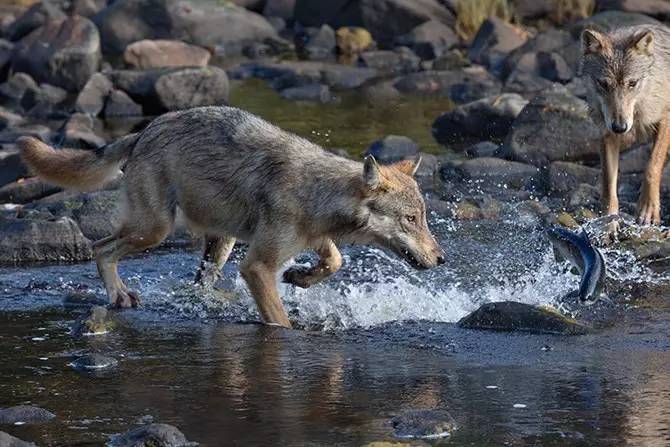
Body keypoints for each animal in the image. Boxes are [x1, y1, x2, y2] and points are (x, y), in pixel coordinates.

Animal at [17, 105, 446, 328]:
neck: (317, 193)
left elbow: (334, 260)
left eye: (423, 218)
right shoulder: (256, 267)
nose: (442, 258)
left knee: (200, 282)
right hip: (155, 229)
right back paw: (119, 295)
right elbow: (279, 319)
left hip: (220, 240)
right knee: (101, 247)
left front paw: (300, 277)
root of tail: (146, 129)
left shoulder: (312, 239)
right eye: (411, 220)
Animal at [584, 24, 670, 226]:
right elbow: (608, 184)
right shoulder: (607, 133)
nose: (620, 127)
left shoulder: (665, 118)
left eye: (632, 83)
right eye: (603, 84)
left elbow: (652, 167)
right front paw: (608, 224)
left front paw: (648, 209)